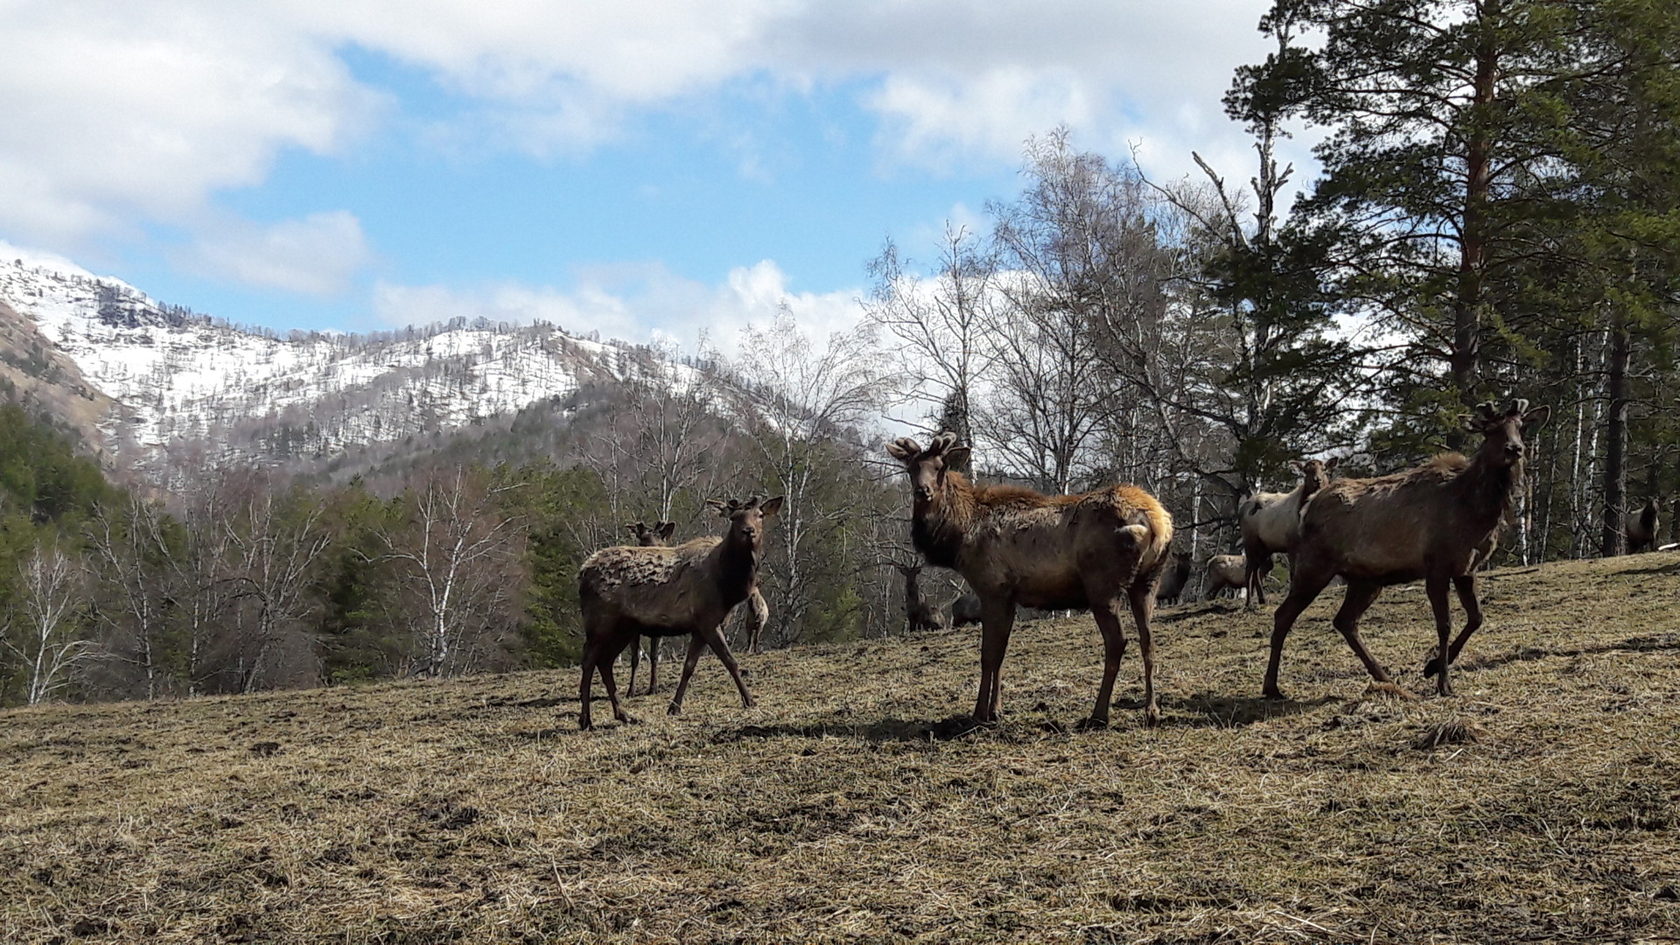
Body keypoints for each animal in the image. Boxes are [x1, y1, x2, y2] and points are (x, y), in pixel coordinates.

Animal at [574, 494, 782, 729]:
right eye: (734, 517)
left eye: (760, 515)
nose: (749, 531)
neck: (727, 585)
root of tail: (582, 572)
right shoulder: (708, 618)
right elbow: (731, 661)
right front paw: (750, 700)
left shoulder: (699, 626)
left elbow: (689, 666)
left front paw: (674, 707)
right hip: (600, 622)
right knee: (588, 661)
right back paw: (586, 719)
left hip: (624, 628)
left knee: (605, 662)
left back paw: (624, 715)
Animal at [887, 430, 1176, 723]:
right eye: (911, 468)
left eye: (939, 467)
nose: (922, 491)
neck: (958, 536)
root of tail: (1156, 521)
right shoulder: (1009, 596)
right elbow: (1002, 652)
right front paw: (996, 709)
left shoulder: (992, 588)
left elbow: (988, 654)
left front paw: (980, 713)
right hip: (1147, 581)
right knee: (1148, 639)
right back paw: (1152, 709)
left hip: (1102, 585)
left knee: (1117, 641)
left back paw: (1099, 714)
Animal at [1236, 460, 1337, 605]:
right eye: (1306, 471)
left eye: (1324, 469)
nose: (1317, 480)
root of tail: (1241, 509)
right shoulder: (1292, 543)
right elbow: (1293, 572)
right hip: (1250, 541)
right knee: (1249, 569)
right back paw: (1249, 601)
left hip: (1265, 547)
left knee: (1258, 569)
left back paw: (1261, 598)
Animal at [1263, 396, 1545, 699]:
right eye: (1490, 429)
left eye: (1519, 426)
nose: (1514, 449)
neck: (1477, 513)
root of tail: (1307, 507)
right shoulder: (1437, 564)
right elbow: (1445, 624)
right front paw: (1443, 682)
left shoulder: (1467, 568)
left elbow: (1476, 617)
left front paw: (1431, 667)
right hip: (1314, 565)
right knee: (1283, 615)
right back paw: (1272, 687)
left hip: (1366, 579)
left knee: (1344, 621)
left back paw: (1386, 678)